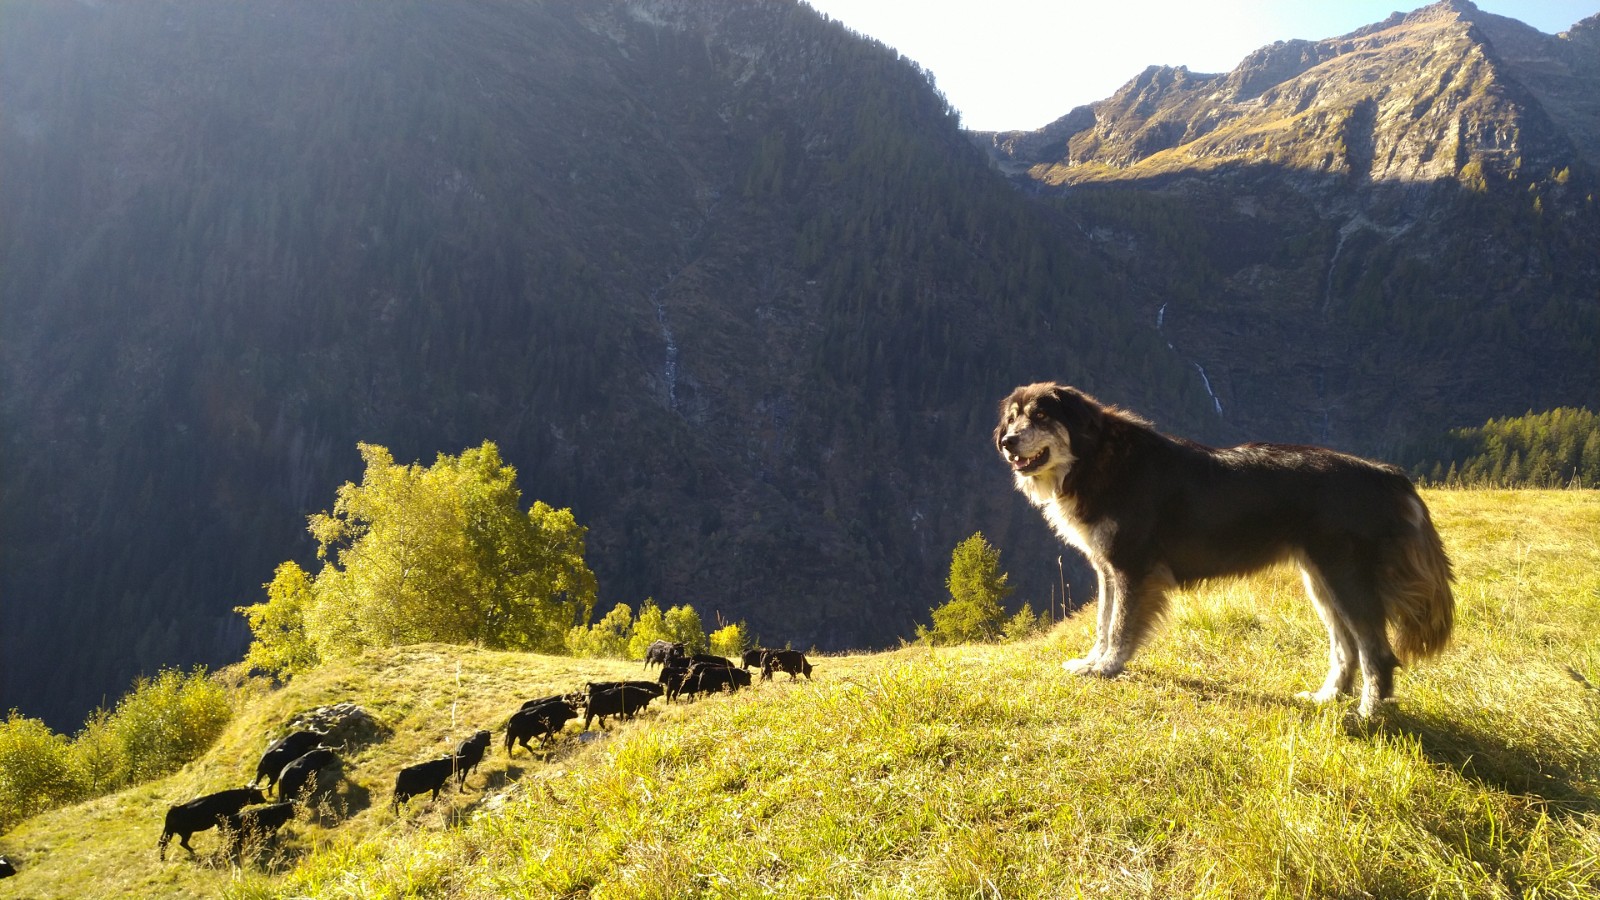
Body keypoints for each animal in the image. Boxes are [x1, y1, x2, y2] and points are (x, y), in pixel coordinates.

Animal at [995, 382, 1453, 716]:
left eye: (1041, 416)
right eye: (1012, 417)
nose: (1007, 442)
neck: (1095, 459)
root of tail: (1387, 474)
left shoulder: (1132, 568)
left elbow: (1121, 626)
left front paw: (1108, 668)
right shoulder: (1108, 569)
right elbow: (1103, 624)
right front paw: (1092, 663)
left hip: (1346, 579)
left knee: (1376, 653)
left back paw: (1366, 715)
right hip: (1321, 582)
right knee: (1346, 649)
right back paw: (1326, 698)